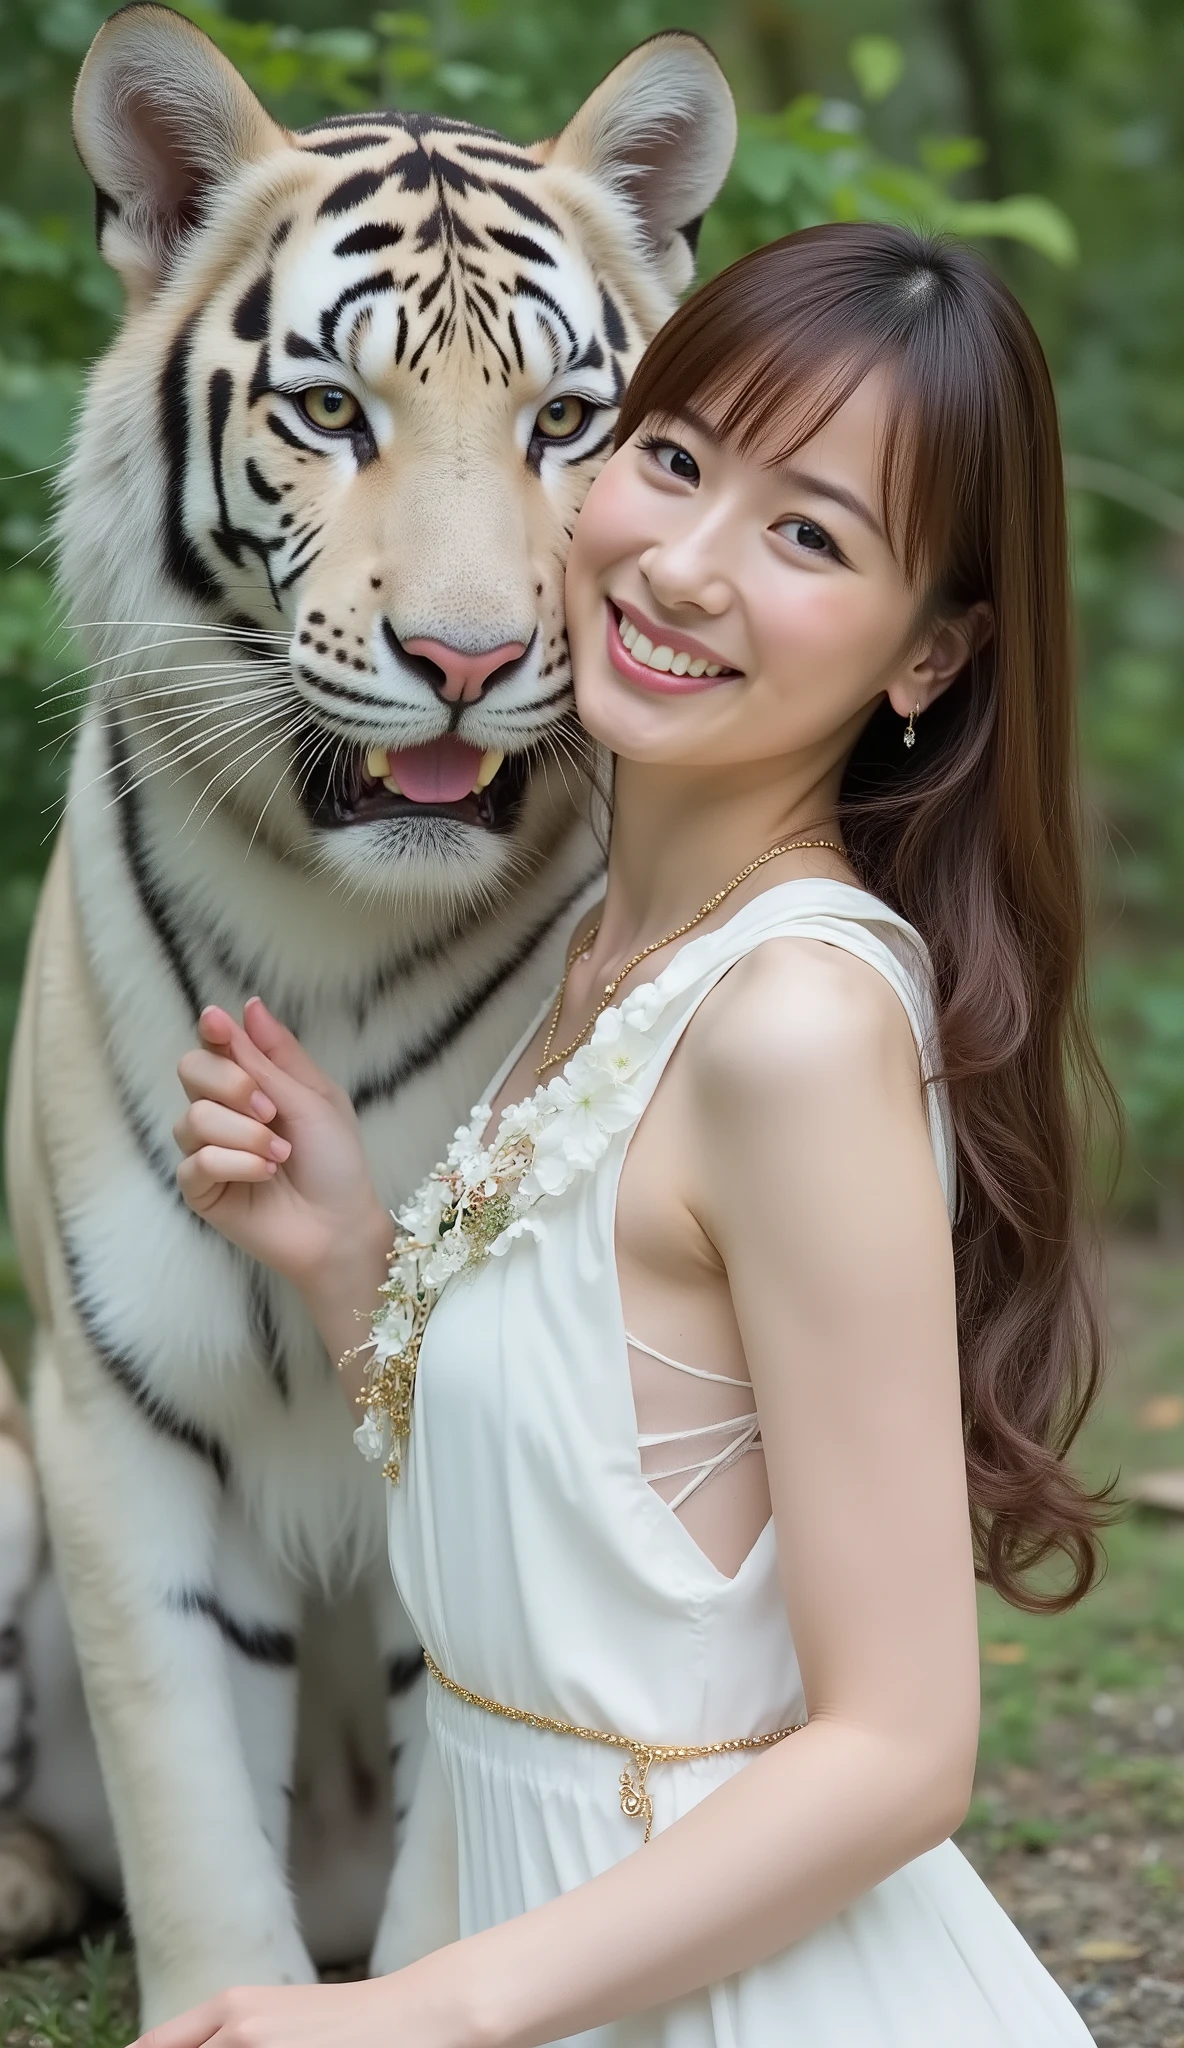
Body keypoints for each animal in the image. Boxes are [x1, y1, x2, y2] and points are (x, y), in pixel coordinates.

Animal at [0, 0, 735, 2024]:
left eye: (566, 422)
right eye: (333, 411)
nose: (468, 661)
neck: (326, 930)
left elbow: (467, 1854)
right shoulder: (113, 1408)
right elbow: (181, 1791)